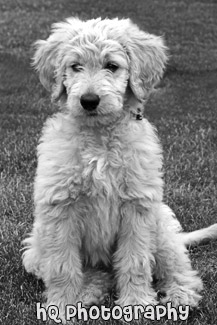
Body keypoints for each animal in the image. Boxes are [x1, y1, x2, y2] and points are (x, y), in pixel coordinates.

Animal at [22, 16, 217, 320]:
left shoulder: (137, 206)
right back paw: (88, 293)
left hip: (161, 227)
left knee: (180, 270)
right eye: (75, 66)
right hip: (36, 250)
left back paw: (180, 296)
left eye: (111, 66)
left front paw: (136, 304)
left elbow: (135, 261)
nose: (89, 100)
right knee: (97, 273)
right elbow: (63, 265)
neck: (100, 138)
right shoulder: (59, 208)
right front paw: (62, 307)